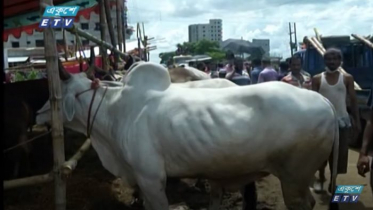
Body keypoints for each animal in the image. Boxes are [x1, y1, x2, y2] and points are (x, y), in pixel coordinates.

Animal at [37, 62, 338, 210]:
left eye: (57, 91)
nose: (40, 115)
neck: (115, 111)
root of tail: (324, 102)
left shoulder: (151, 179)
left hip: (294, 177)